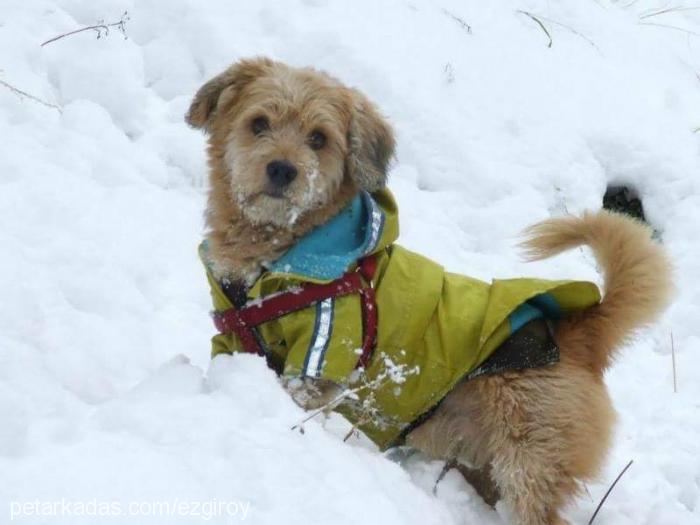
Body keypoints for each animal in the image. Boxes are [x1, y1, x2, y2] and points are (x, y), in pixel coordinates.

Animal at [186, 57, 672, 524]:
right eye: (259, 123)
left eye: (318, 139)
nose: (283, 169)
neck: (285, 253)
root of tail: (581, 330)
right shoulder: (231, 340)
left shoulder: (321, 356)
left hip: (529, 459)